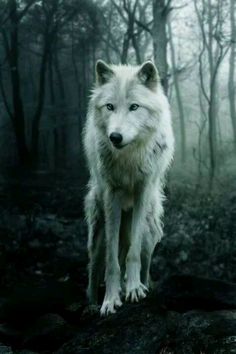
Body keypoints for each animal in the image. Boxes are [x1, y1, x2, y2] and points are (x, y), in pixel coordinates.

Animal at [83, 59, 173, 316]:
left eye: (134, 107)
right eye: (110, 107)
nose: (115, 136)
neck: (129, 156)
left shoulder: (142, 192)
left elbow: (132, 255)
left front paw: (133, 289)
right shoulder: (111, 196)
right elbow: (112, 263)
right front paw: (110, 300)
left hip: (149, 232)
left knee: (141, 259)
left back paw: (140, 285)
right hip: (98, 230)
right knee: (94, 267)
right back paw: (91, 303)